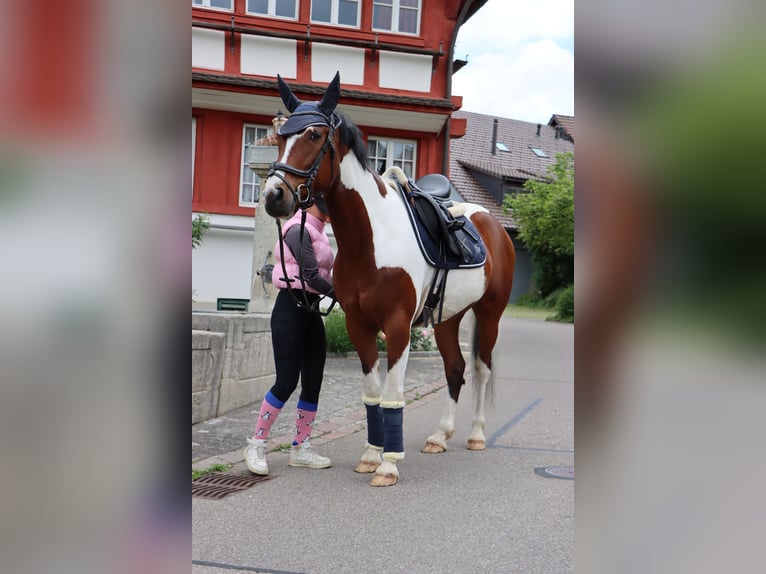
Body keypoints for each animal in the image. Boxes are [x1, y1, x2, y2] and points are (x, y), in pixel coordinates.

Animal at [262, 70, 516, 488]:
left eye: (314, 135)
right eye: (280, 137)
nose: (273, 195)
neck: (372, 239)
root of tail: (491, 223)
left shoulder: (397, 327)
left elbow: (393, 394)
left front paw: (388, 465)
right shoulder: (359, 325)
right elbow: (372, 392)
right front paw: (370, 455)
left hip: (489, 314)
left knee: (481, 369)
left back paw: (477, 433)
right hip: (447, 319)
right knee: (455, 369)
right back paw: (440, 435)